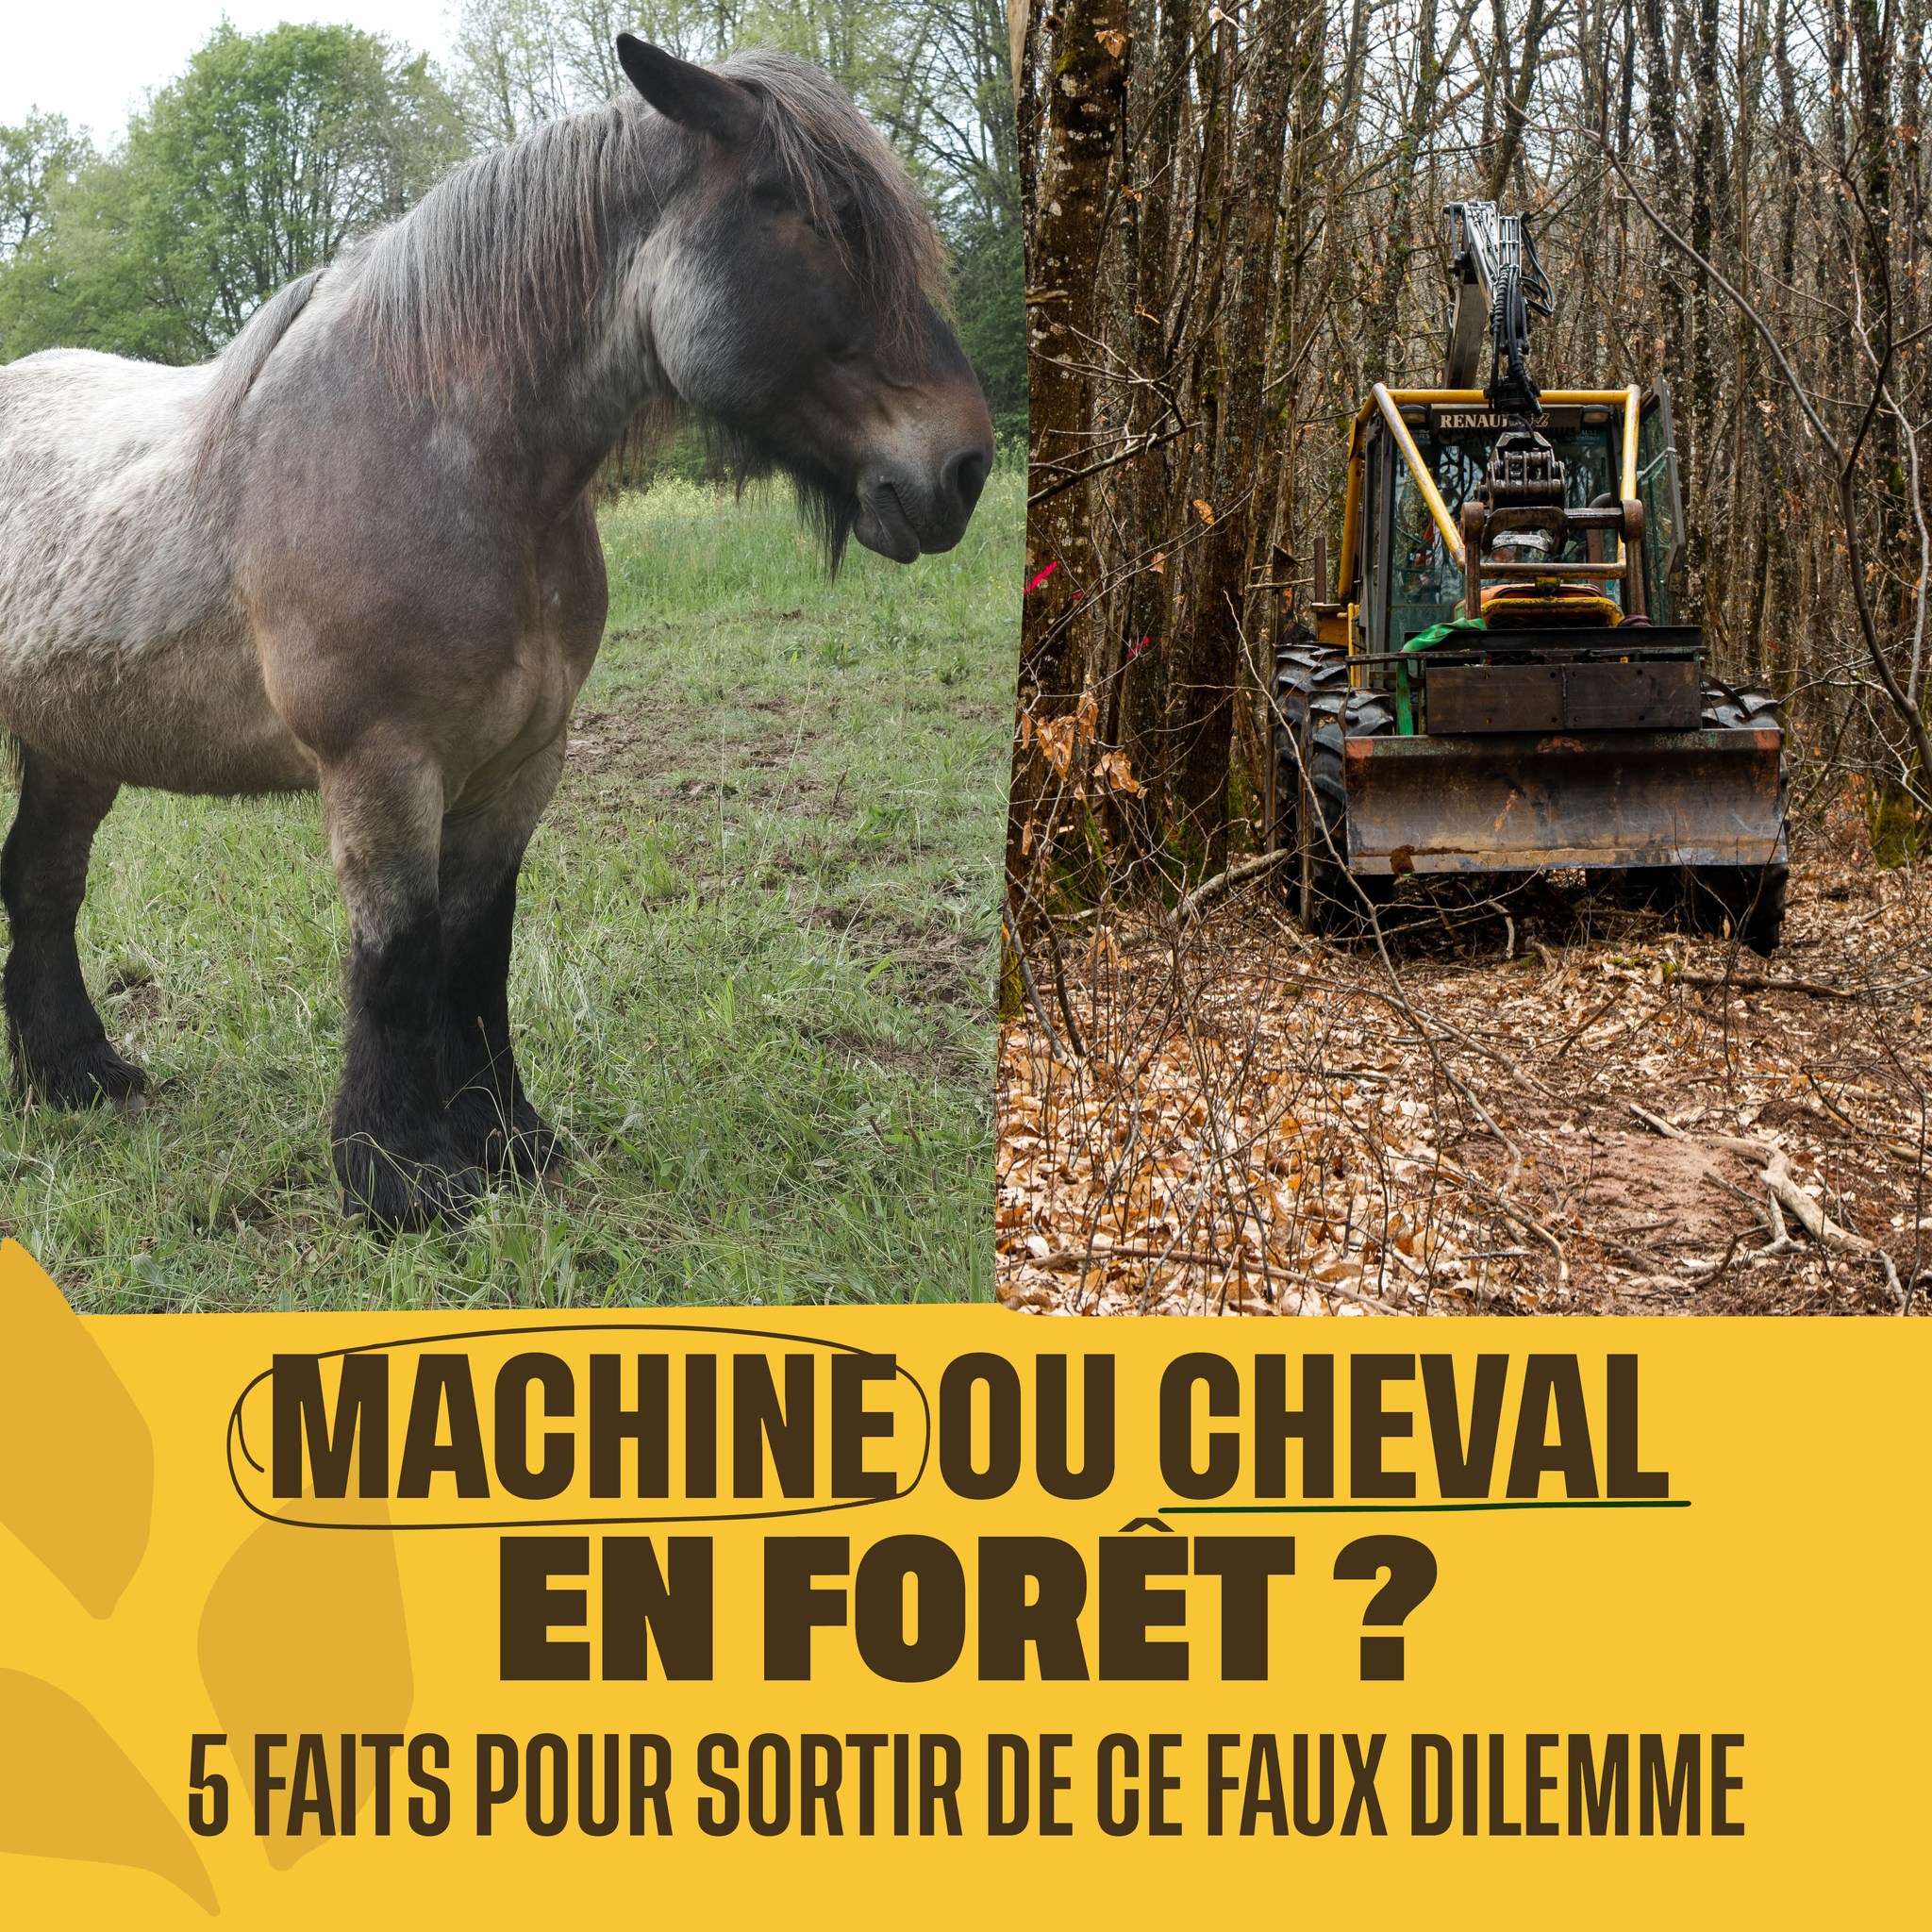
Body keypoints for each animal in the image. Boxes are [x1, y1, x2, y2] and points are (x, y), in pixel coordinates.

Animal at [0, 37, 994, 1229]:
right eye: (811, 213)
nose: (961, 468)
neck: (442, 452)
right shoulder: (381, 766)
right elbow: (395, 955)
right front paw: (397, 1175)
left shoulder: (522, 762)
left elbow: (476, 949)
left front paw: (506, 1138)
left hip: (72, 746)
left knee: (40, 880)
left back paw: (75, 1072)